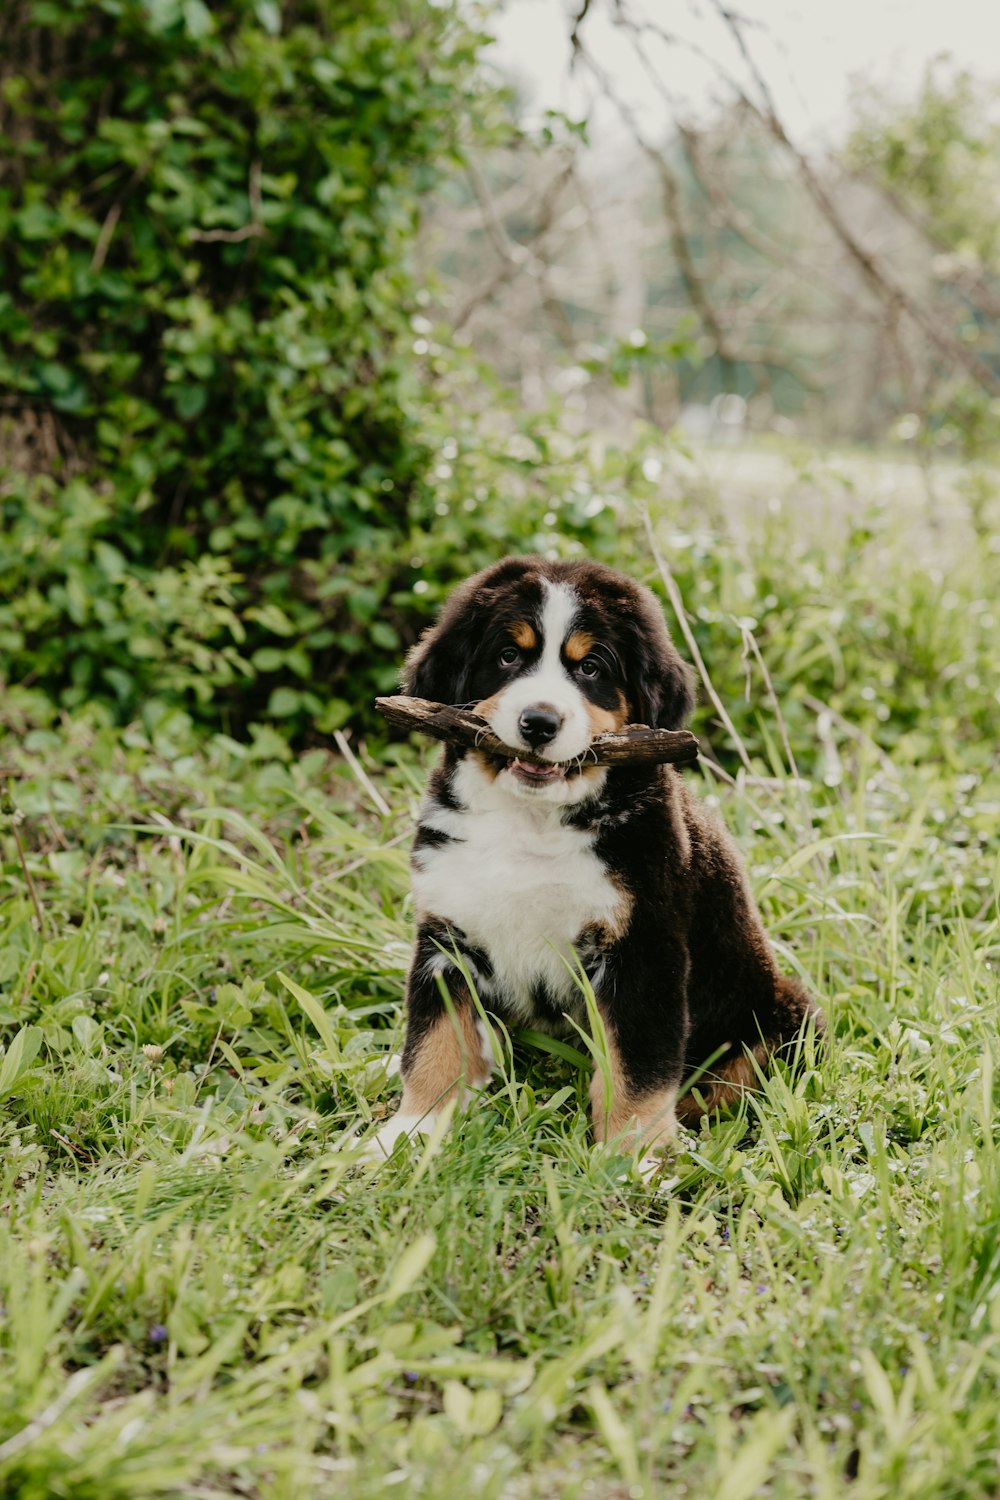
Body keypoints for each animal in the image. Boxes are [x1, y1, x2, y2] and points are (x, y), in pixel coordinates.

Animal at [373, 555, 821, 1170]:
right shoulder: (447, 935)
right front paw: (410, 1131)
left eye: (589, 668)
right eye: (508, 656)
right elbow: (434, 1042)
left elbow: (636, 1065)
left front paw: (635, 1155)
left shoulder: (642, 948)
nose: (539, 722)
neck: (531, 822)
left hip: (782, 1014)